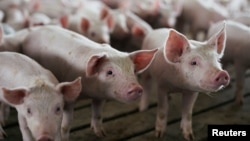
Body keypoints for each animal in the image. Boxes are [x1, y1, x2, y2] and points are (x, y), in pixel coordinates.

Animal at [7, 25, 156, 139]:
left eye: (133, 70)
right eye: (109, 72)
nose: (136, 88)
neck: (90, 91)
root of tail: (31, 31)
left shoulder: (100, 97)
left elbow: (98, 114)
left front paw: (102, 134)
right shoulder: (68, 98)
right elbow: (67, 124)